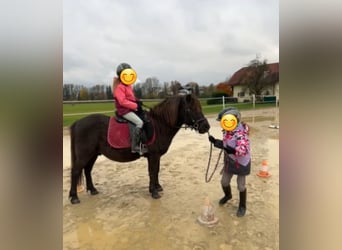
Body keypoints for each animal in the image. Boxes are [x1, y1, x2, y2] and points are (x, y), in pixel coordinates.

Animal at [68, 94, 210, 203]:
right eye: (191, 109)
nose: (206, 127)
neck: (159, 125)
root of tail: (78, 122)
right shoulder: (153, 155)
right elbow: (152, 171)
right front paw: (154, 192)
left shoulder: (156, 156)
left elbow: (156, 171)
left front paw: (157, 187)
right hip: (85, 155)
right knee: (76, 171)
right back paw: (74, 197)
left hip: (93, 155)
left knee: (87, 170)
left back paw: (92, 190)